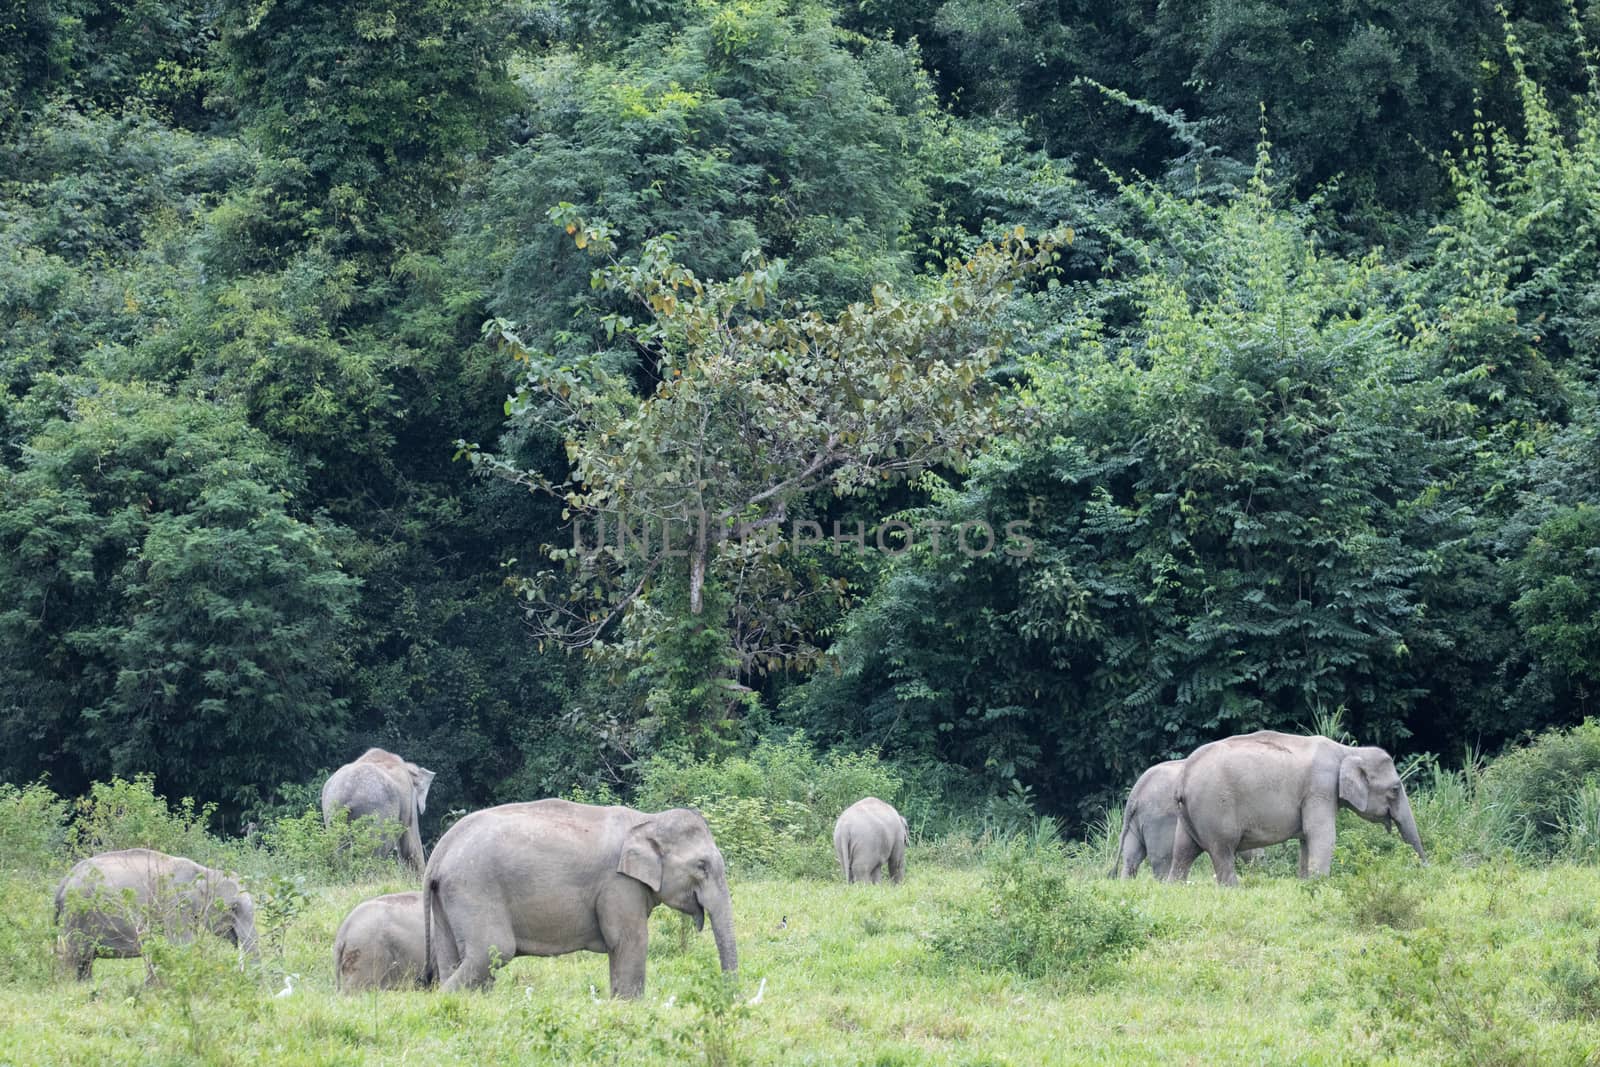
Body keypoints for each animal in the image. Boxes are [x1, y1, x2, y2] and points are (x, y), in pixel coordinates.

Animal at [56, 844, 257, 979]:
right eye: (234, 907)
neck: (204, 871)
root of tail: (64, 881)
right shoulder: (175, 904)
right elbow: (183, 944)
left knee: (85, 961)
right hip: (78, 915)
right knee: (74, 957)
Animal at [416, 799, 732, 1004]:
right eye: (702, 866)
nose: (731, 997)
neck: (647, 820)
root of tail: (440, 851)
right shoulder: (618, 884)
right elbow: (629, 940)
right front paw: (630, 1007)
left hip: (447, 899)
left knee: (454, 958)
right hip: (474, 887)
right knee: (493, 950)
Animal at [1120, 764, 1267, 883]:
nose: (1262, 858)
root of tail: (1136, 792)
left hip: (1135, 821)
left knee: (1131, 858)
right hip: (1157, 820)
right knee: (1160, 859)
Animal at [1164, 729, 1427, 889]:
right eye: (1395, 789)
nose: (1426, 870)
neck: (1348, 751)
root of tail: (1184, 777)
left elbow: (1306, 839)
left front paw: (1305, 883)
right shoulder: (1320, 788)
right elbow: (1322, 835)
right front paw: (1320, 885)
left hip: (1189, 815)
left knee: (1183, 851)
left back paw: (1174, 887)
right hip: (1215, 808)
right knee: (1223, 850)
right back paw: (1234, 890)